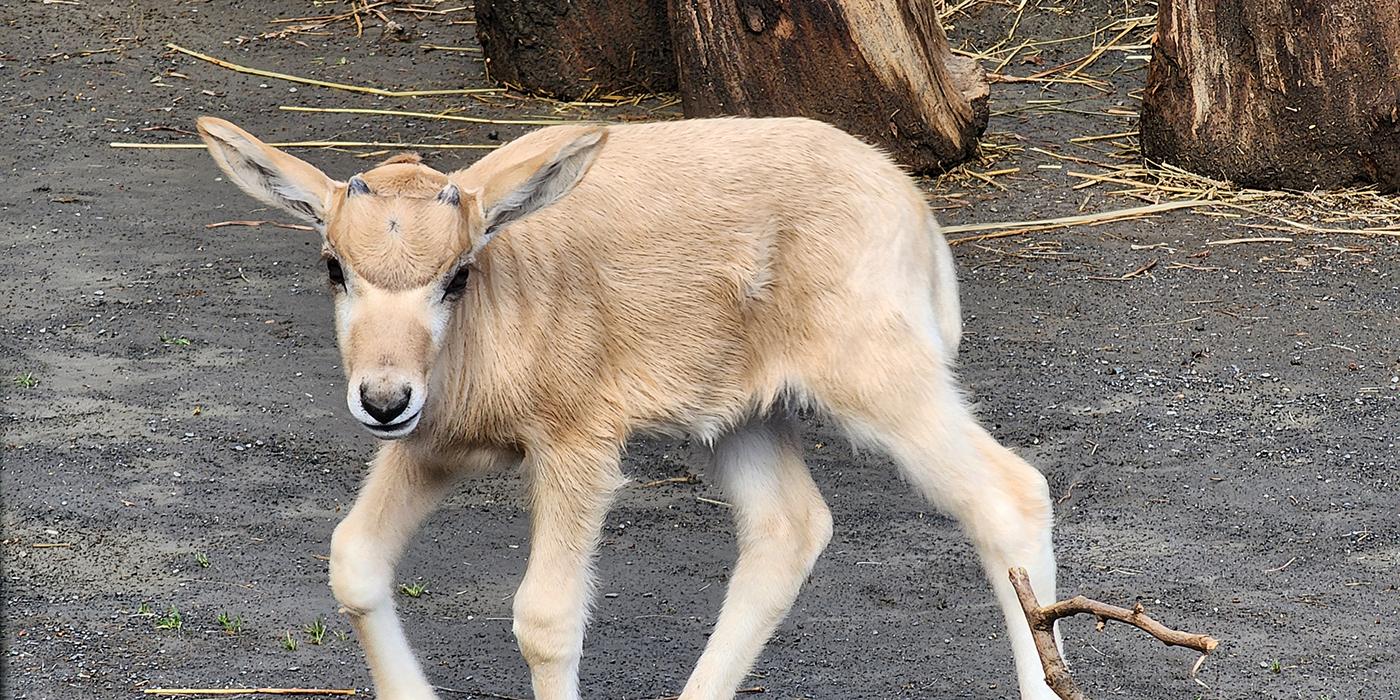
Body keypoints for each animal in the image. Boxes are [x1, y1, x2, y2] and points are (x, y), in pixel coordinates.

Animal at [191, 116, 1052, 700]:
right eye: (335, 267)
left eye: (457, 275)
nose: (384, 397)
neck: (508, 281)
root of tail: (908, 203)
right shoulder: (434, 446)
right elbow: (355, 561)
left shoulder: (578, 446)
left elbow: (546, 619)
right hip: (740, 418)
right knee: (789, 527)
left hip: (878, 378)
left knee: (1008, 495)